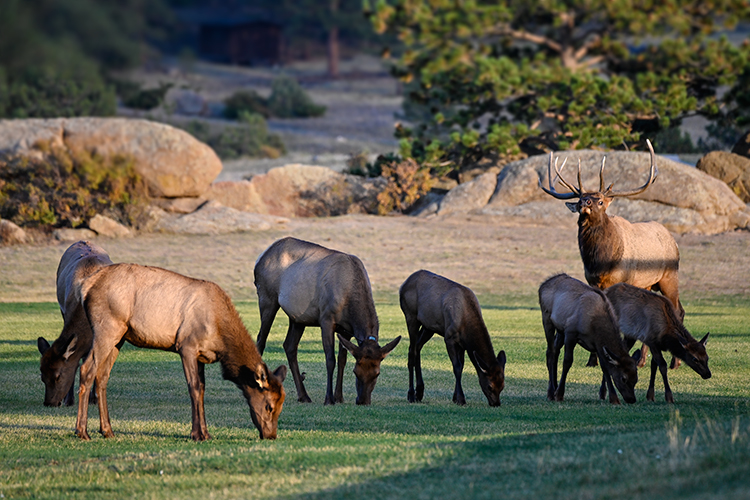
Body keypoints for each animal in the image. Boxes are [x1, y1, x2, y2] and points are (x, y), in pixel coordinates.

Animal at [77, 264, 288, 440]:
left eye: (282, 405)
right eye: (269, 406)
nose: (271, 436)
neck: (220, 333)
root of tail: (86, 285)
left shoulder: (202, 355)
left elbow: (202, 389)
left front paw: (206, 433)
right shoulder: (186, 346)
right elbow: (193, 388)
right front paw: (196, 434)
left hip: (119, 337)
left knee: (102, 376)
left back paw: (107, 430)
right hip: (106, 328)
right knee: (87, 369)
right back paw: (82, 431)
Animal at [400, 270, 506, 406]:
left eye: (502, 386)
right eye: (490, 386)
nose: (496, 403)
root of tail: (403, 284)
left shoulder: (463, 344)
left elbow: (462, 365)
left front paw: (455, 397)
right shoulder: (450, 337)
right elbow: (457, 367)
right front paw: (460, 398)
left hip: (428, 326)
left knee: (417, 347)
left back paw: (420, 392)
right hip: (411, 316)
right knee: (411, 351)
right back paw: (411, 395)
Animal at [540, 139, 688, 366]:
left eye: (600, 201)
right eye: (582, 197)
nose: (584, 202)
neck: (600, 262)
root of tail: (673, 241)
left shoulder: (621, 280)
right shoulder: (593, 281)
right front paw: (592, 360)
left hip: (669, 276)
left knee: (677, 309)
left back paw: (674, 362)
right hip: (648, 283)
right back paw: (643, 360)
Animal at [540, 272, 640, 404]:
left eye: (636, 378)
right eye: (623, 378)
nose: (632, 399)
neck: (594, 326)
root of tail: (542, 285)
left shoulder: (597, 344)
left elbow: (605, 367)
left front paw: (613, 398)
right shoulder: (571, 332)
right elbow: (567, 361)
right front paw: (559, 395)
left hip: (560, 329)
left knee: (555, 351)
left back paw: (553, 388)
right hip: (546, 318)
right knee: (550, 352)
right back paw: (551, 392)